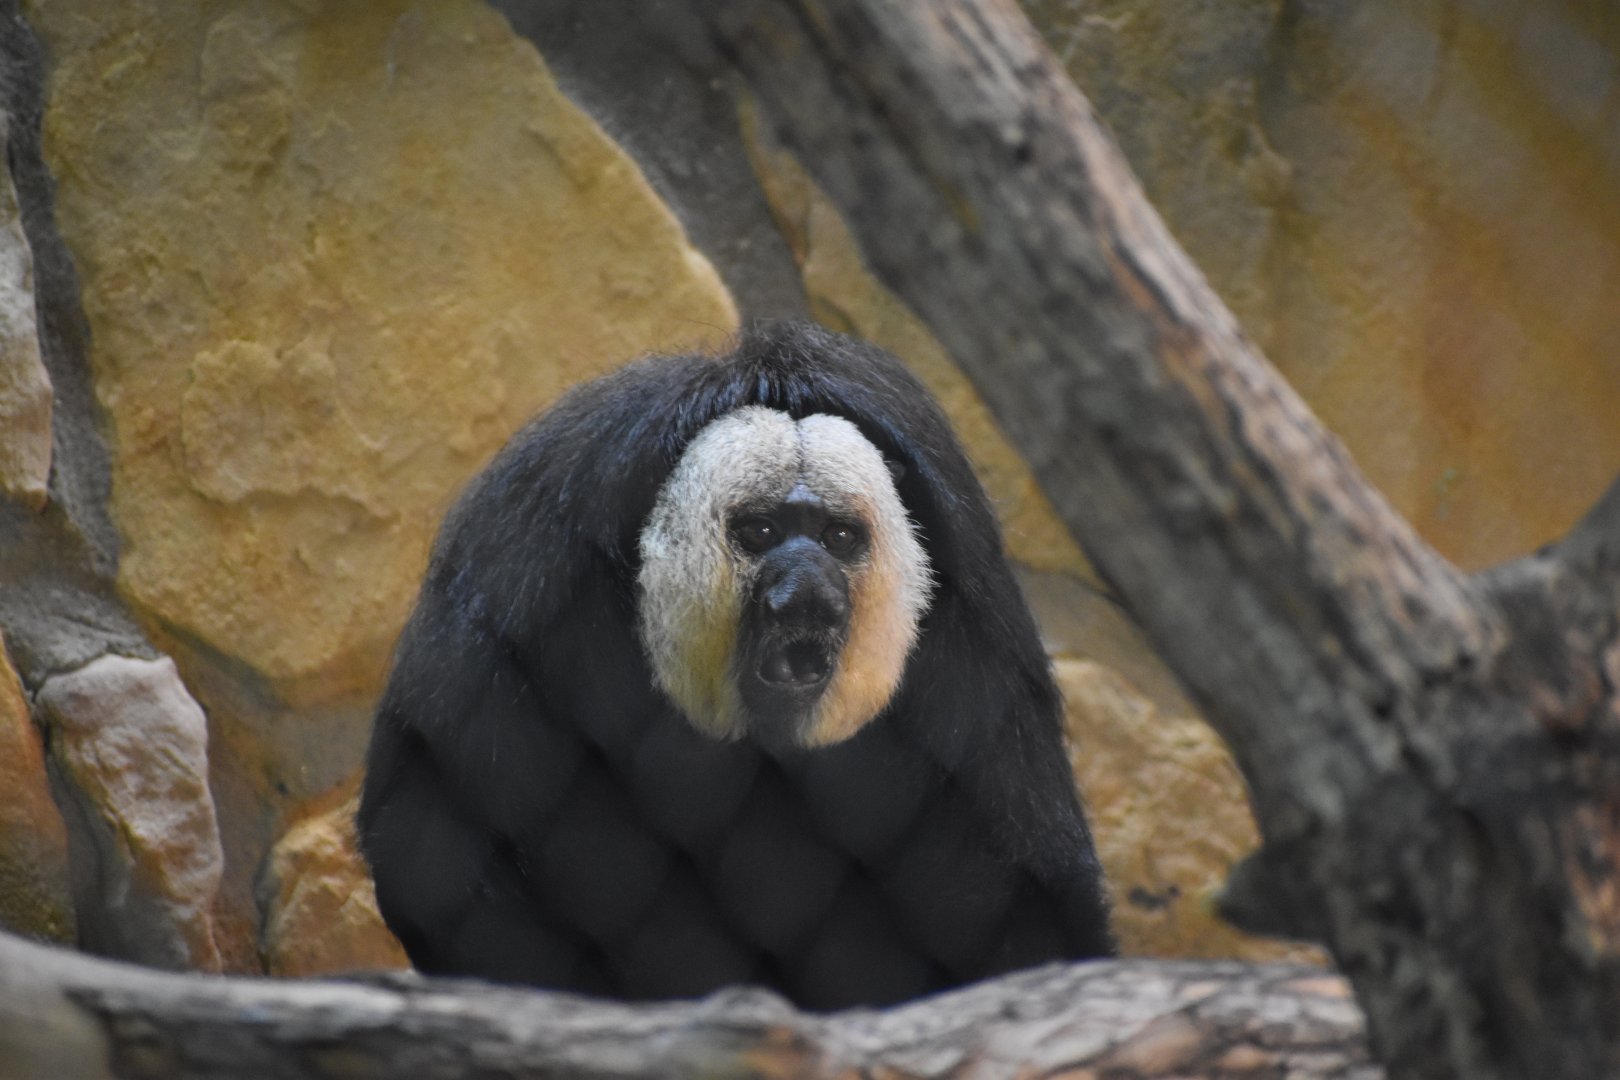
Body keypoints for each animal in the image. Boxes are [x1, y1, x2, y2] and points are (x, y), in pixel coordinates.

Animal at [357, 322, 1113, 1010]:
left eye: (839, 538)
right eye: (761, 532)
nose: (807, 591)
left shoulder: (969, 596)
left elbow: (1018, 878)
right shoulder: (531, 562)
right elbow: (435, 839)